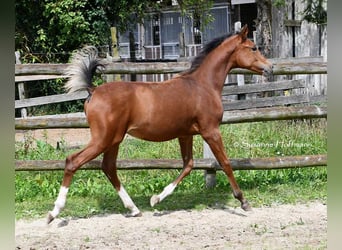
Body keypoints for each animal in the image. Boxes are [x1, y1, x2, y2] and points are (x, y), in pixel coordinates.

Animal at [47, 25, 272, 224]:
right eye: (253, 47)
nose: (270, 68)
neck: (203, 86)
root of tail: (93, 90)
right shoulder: (211, 131)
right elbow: (225, 163)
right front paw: (243, 201)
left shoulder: (185, 134)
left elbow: (188, 165)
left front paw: (156, 199)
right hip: (102, 139)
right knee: (73, 161)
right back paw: (54, 213)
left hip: (114, 140)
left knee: (108, 167)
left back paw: (134, 209)